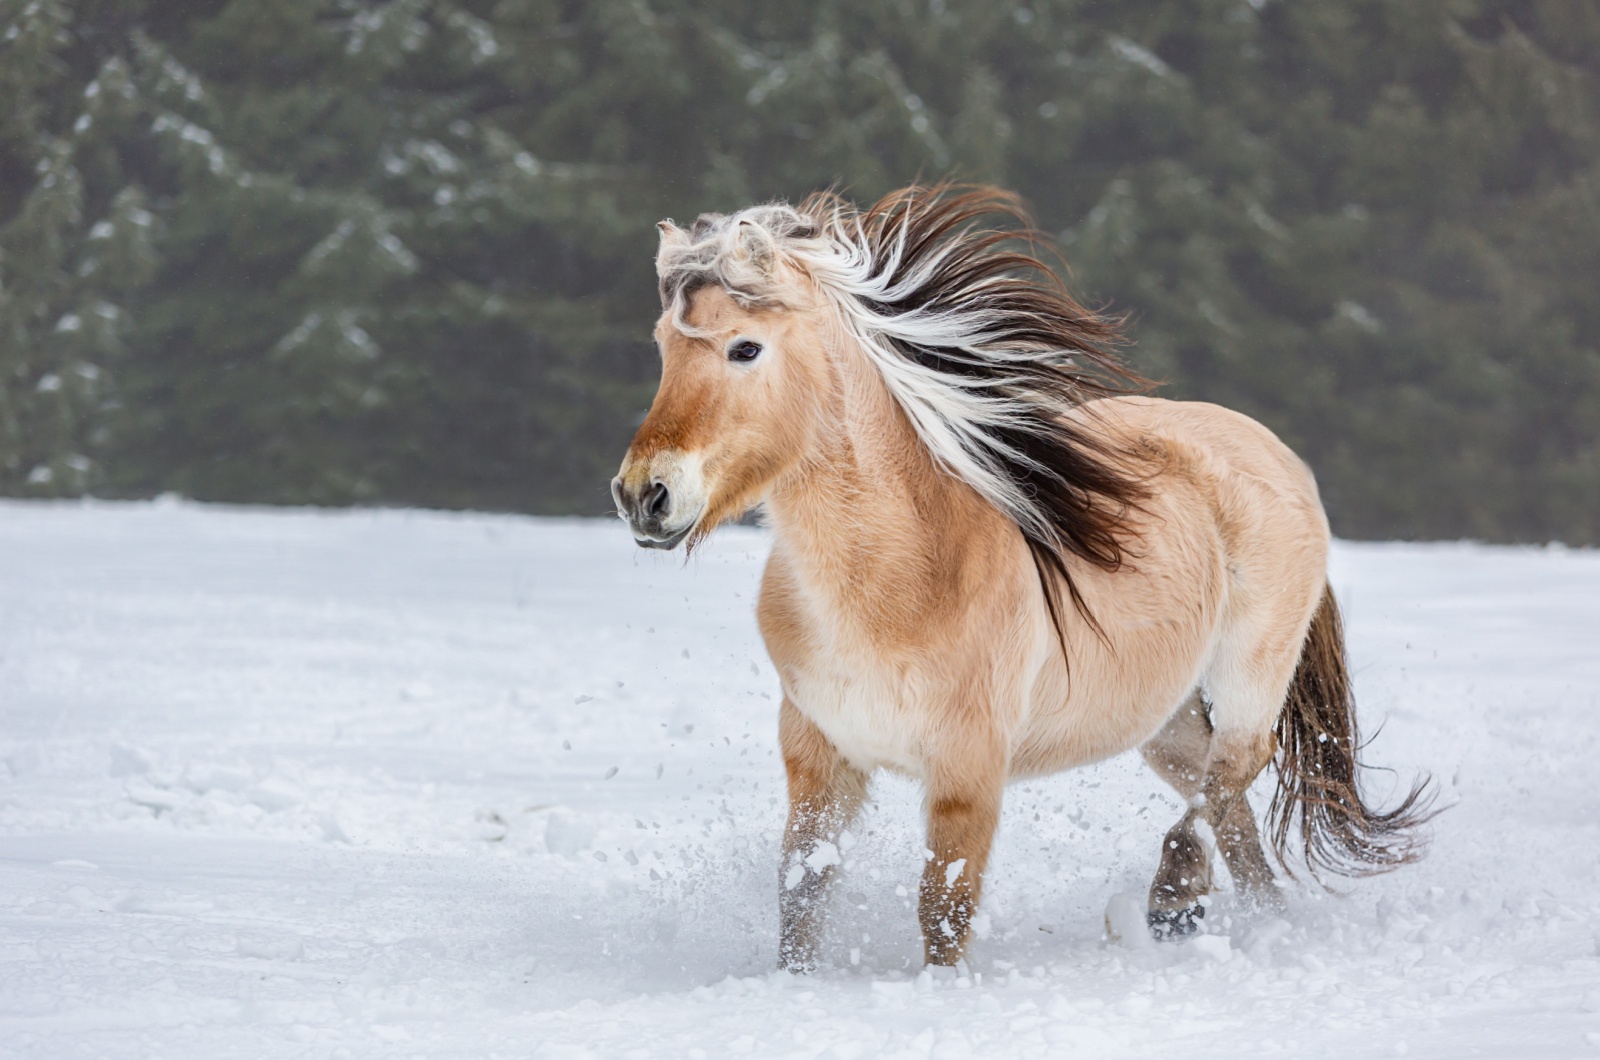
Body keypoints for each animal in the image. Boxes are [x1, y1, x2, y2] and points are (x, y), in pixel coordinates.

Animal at [611, 184, 1440, 973]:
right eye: (662, 346)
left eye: (745, 348)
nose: (644, 495)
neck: (899, 575)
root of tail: (1276, 451)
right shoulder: (818, 758)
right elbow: (802, 896)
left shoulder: (969, 769)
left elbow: (943, 910)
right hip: (1161, 718)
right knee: (1228, 809)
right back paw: (1244, 922)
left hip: (1249, 671)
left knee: (1238, 764)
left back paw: (1173, 900)